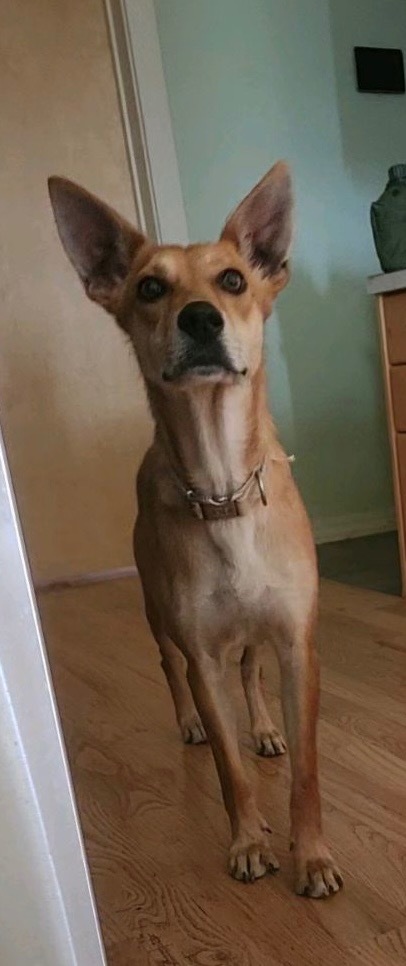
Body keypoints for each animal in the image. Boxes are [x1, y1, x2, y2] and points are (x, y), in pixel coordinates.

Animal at [49, 161, 344, 900]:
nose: (200, 317)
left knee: (250, 669)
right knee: (170, 667)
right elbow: (230, 772)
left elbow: (305, 770)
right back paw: (190, 723)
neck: (221, 487)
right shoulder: (202, 652)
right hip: (158, 614)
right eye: (150, 287)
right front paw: (247, 841)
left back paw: (263, 728)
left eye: (233, 280)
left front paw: (312, 855)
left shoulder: (297, 644)